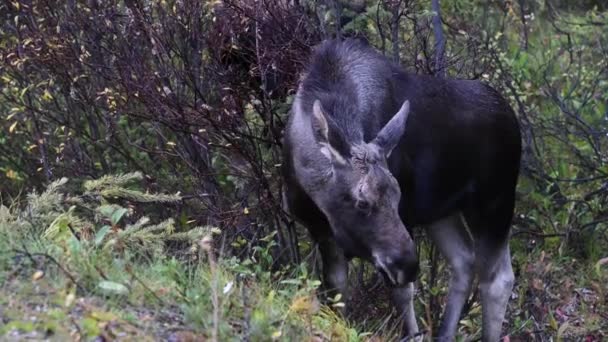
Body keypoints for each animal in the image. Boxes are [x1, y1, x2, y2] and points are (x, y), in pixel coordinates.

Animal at [282, 38, 524, 340]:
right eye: (362, 202)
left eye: (398, 197)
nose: (408, 266)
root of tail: (514, 121)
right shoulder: (321, 232)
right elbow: (336, 293)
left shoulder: (405, 223)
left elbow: (402, 295)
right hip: (442, 213)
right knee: (463, 260)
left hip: (494, 203)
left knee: (498, 279)